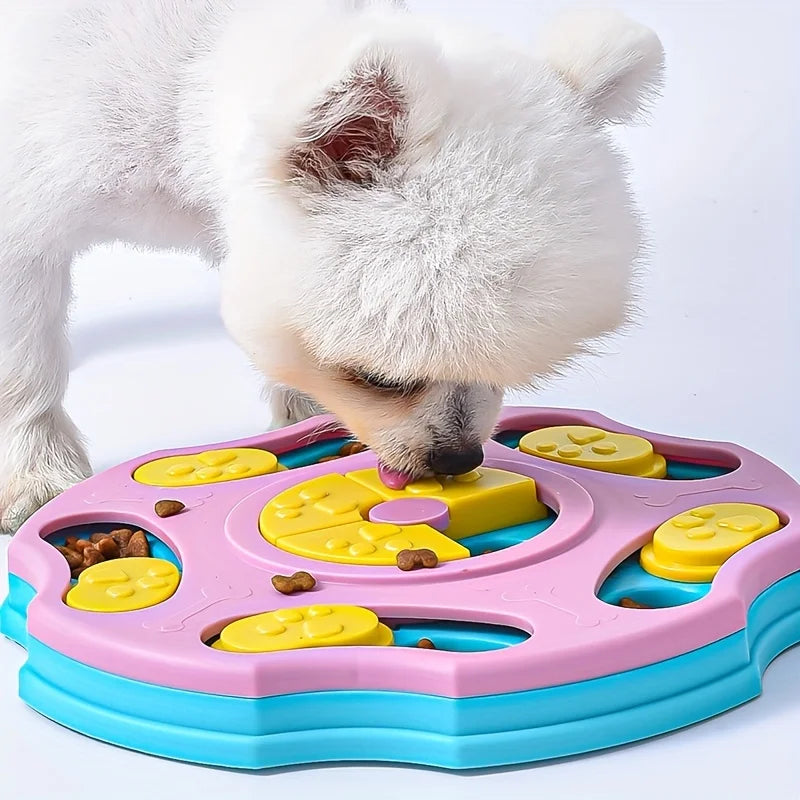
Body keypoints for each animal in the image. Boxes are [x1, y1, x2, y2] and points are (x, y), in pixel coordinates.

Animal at [0, 3, 664, 536]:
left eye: (504, 372)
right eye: (379, 379)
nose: (457, 459)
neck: (184, 79)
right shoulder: (22, 210)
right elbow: (23, 366)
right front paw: (33, 474)